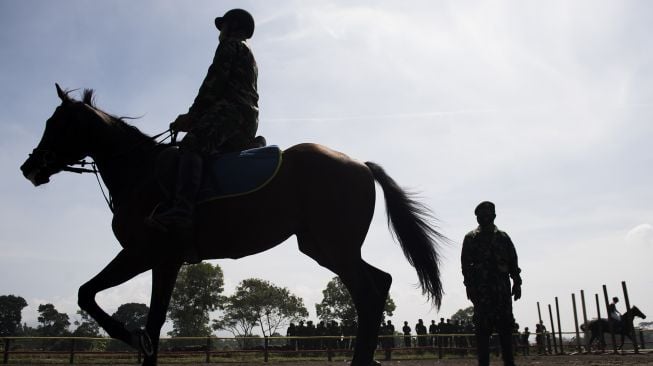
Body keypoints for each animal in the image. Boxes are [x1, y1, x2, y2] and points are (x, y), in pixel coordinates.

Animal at [21, 83, 448, 366]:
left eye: (56, 124)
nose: (30, 167)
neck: (140, 172)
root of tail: (359, 163)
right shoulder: (155, 259)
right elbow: (124, 309)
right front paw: (139, 342)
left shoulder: (148, 254)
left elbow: (114, 306)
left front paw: (131, 336)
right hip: (324, 248)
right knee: (379, 283)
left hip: (336, 247)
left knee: (368, 292)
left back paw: (361, 360)